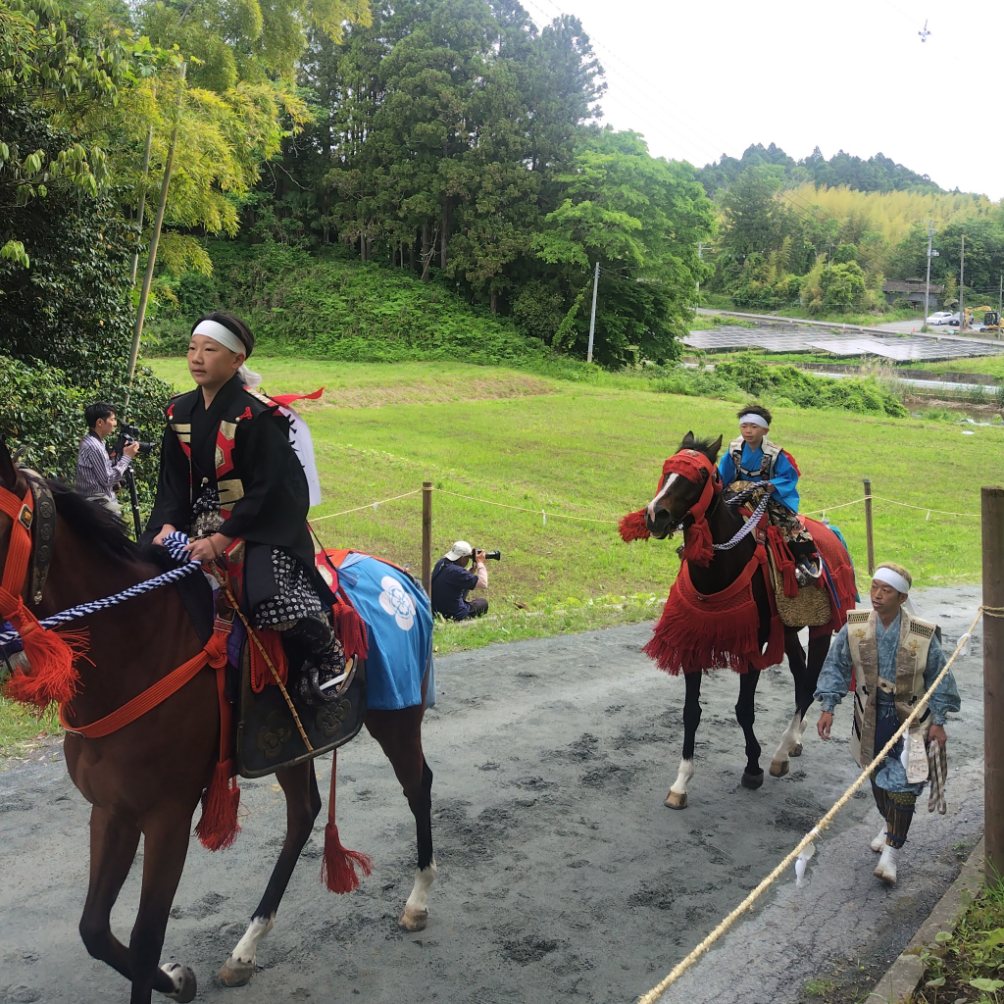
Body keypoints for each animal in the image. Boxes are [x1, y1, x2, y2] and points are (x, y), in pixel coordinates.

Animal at [0, 439, 435, 1004]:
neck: (138, 649)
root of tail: (397, 573)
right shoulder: (111, 809)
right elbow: (94, 929)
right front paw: (177, 979)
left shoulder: (167, 814)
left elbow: (146, 936)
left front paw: (167, 974)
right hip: (284, 742)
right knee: (304, 812)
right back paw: (246, 947)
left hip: (397, 714)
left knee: (418, 784)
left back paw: (418, 899)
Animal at [619, 432, 857, 808]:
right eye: (667, 469)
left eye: (701, 475)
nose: (655, 515)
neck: (720, 568)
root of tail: (831, 531)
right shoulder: (693, 639)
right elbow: (691, 712)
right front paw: (681, 782)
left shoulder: (752, 644)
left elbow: (744, 708)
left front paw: (753, 768)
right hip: (787, 630)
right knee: (800, 674)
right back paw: (795, 740)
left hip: (821, 625)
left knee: (808, 683)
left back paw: (782, 751)